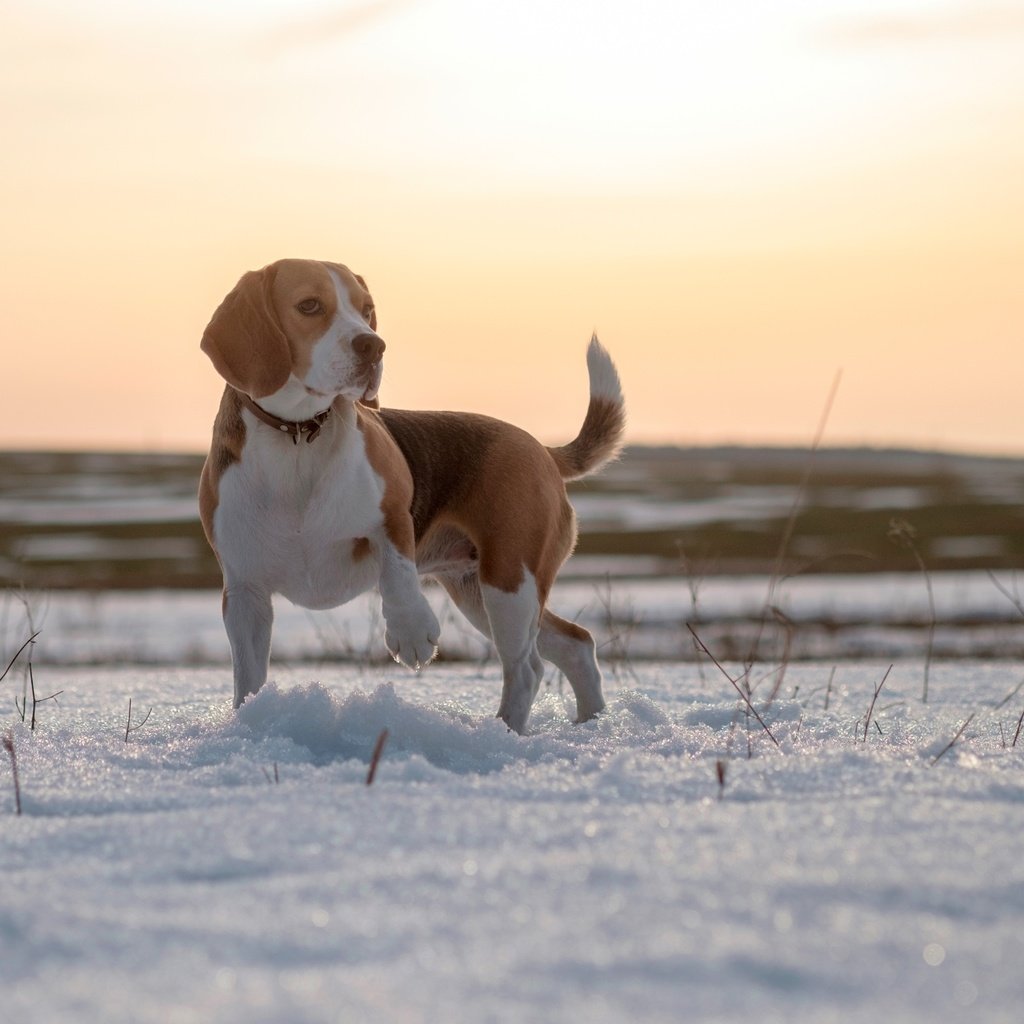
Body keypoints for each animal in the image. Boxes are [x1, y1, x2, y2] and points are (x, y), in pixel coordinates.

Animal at [195, 260, 618, 733]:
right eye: (309, 306)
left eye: (367, 310)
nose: (373, 345)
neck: (298, 436)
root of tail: (540, 448)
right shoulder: (245, 591)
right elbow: (248, 675)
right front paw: (249, 723)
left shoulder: (392, 516)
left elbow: (397, 570)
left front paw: (412, 633)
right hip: (480, 590)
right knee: (575, 644)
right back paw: (591, 724)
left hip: (510, 580)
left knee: (527, 667)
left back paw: (504, 732)